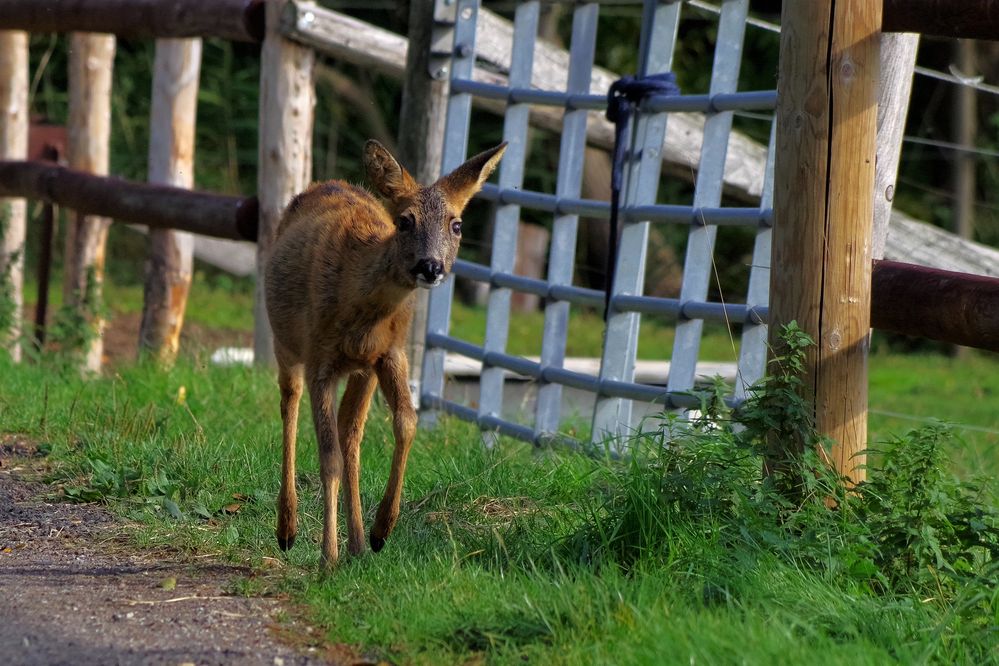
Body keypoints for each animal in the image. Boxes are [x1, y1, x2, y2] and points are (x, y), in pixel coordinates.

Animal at [264, 140, 504, 564]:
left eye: (456, 224)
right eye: (405, 221)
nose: (430, 266)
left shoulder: (390, 354)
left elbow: (406, 422)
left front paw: (381, 531)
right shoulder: (320, 359)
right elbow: (328, 458)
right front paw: (327, 558)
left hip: (362, 372)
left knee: (351, 431)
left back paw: (359, 544)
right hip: (287, 344)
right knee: (289, 407)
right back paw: (288, 530)